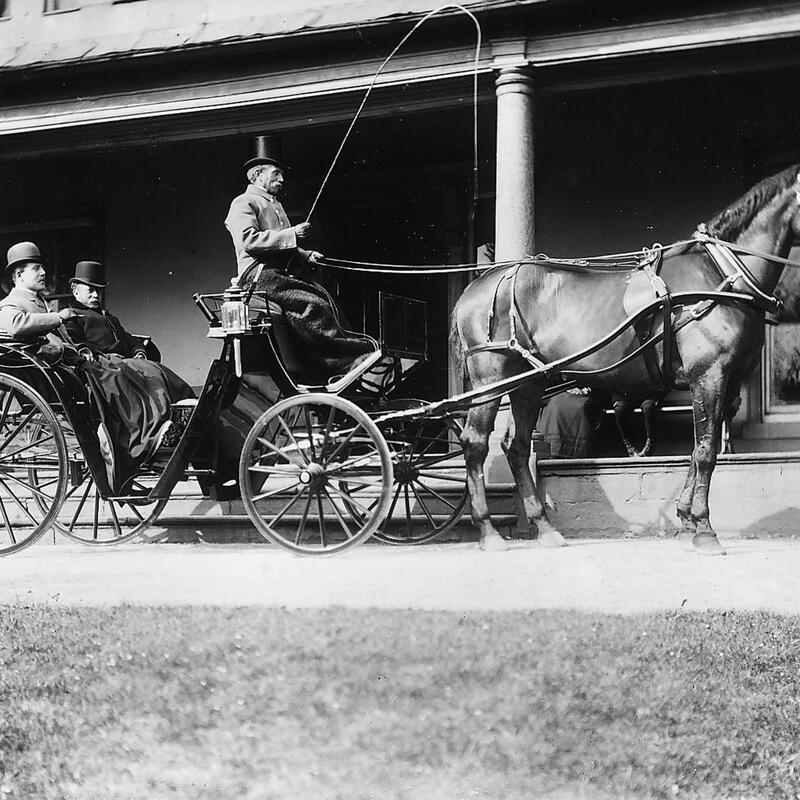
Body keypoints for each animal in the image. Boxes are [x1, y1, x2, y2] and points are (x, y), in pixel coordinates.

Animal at [450, 166, 800, 552]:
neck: (721, 275)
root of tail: (478, 285)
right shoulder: (709, 376)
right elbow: (707, 452)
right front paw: (705, 530)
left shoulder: (727, 383)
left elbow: (697, 451)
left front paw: (686, 521)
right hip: (491, 379)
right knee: (476, 443)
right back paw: (488, 531)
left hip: (529, 383)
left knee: (516, 446)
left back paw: (545, 528)